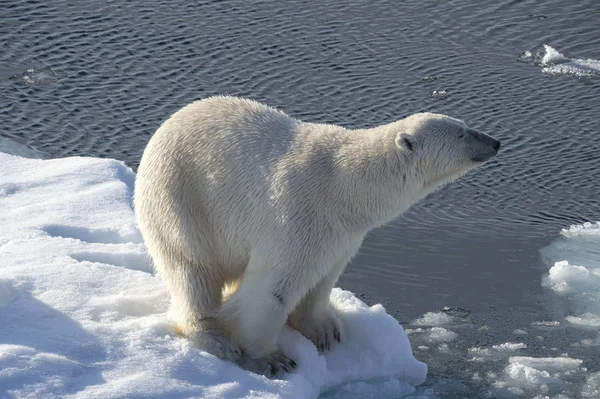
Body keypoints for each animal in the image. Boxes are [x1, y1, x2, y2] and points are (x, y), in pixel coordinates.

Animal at [134, 97, 500, 378]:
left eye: (463, 123)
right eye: (462, 133)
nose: (495, 142)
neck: (345, 187)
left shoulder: (340, 234)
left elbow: (323, 277)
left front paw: (323, 330)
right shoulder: (298, 216)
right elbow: (272, 289)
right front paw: (271, 359)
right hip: (179, 203)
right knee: (192, 272)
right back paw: (214, 338)